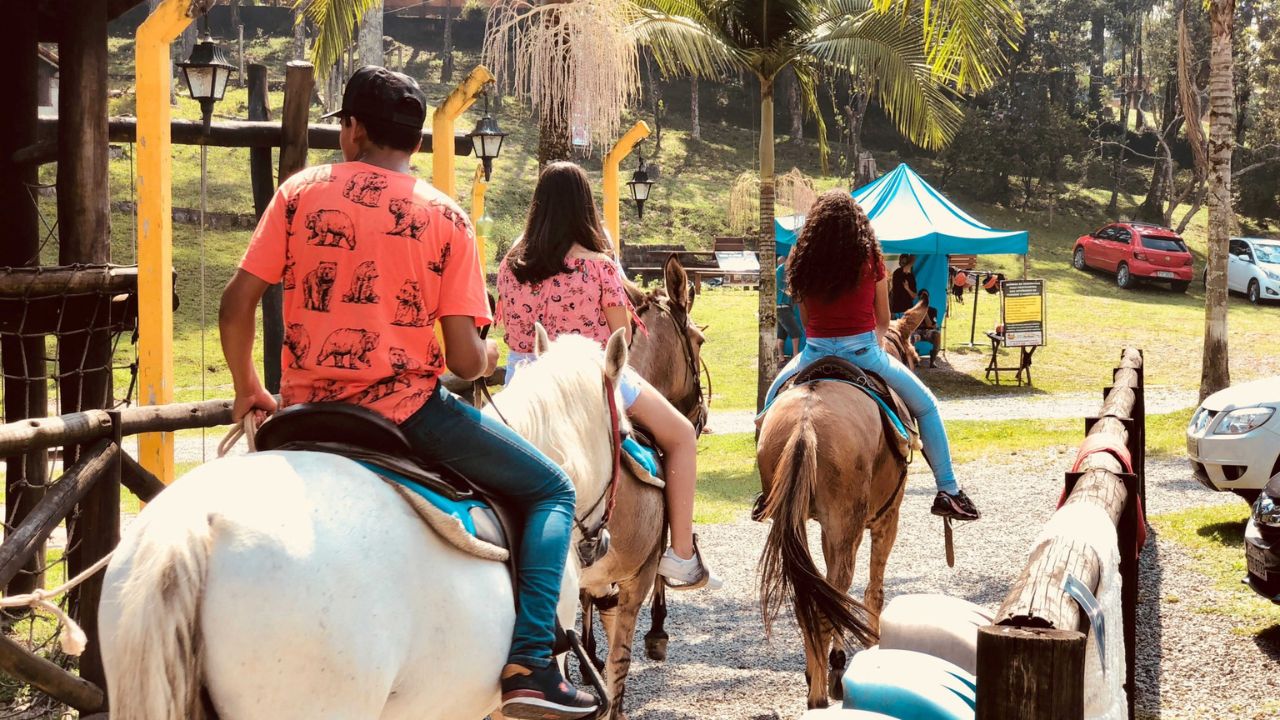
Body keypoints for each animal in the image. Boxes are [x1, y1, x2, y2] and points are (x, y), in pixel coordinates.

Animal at [752, 295, 936, 707]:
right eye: (915, 357)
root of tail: (806, 423)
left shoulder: (825, 528)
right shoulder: (885, 519)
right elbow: (872, 591)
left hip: (797, 524)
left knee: (812, 598)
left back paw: (817, 678)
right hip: (848, 524)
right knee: (831, 597)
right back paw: (821, 693)